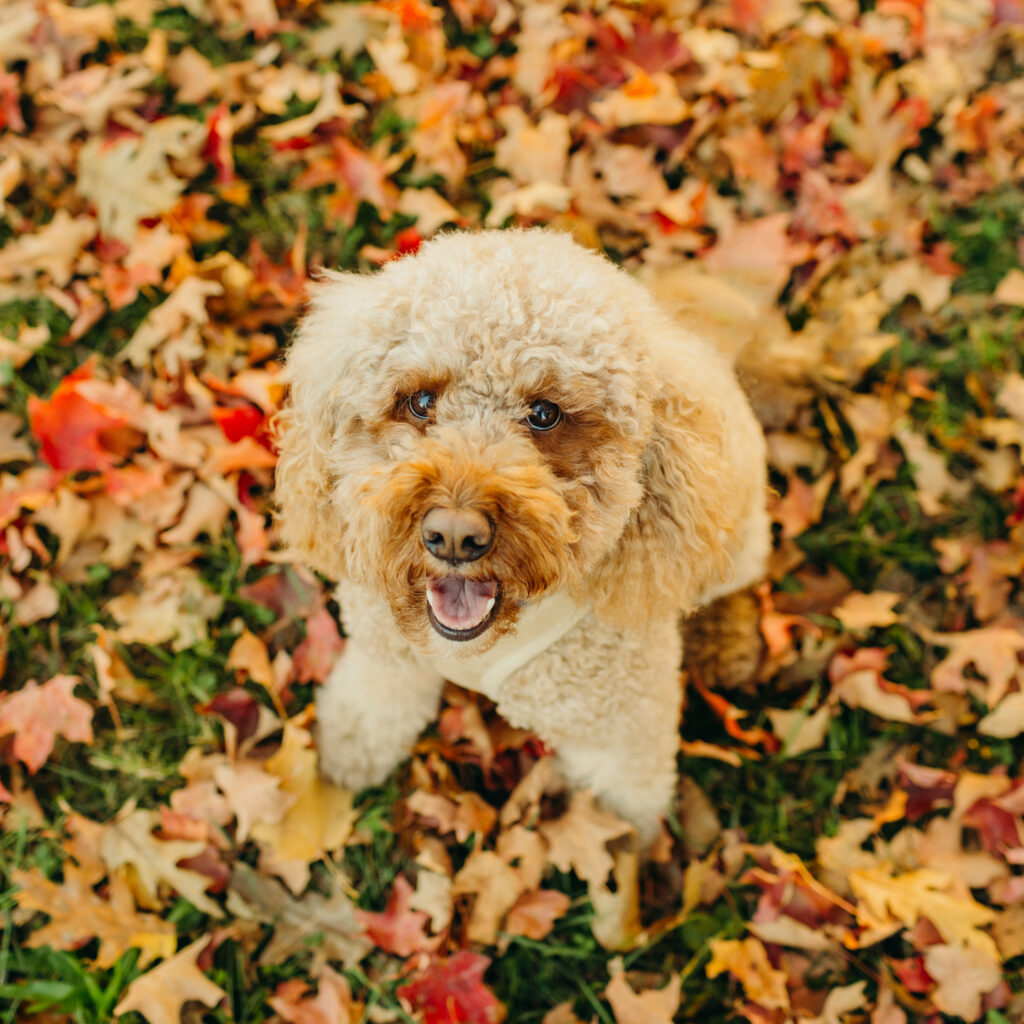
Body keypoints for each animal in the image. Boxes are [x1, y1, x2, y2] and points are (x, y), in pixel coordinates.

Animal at [274, 232, 770, 847]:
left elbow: (625, 794)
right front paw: (350, 750)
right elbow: (374, 704)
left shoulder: (623, 727)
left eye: (544, 413)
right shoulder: (385, 653)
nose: (454, 536)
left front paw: (627, 847)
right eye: (419, 402)